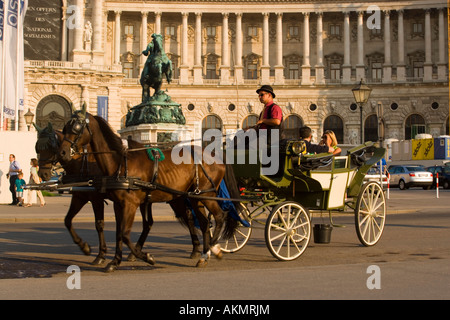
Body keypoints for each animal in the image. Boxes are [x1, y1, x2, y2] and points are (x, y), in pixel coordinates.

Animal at [58, 109, 237, 272]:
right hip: (194, 197)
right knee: (205, 223)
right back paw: (204, 255)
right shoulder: (118, 204)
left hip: (207, 195)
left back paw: (214, 249)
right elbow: (118, 233)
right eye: (64, 129)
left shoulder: (129, 204)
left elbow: (124, 234)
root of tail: (215, 155)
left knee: (219, 216)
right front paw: (114, 261)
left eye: (76, 128)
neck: (120, 162)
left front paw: (146, 257)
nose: (63, 153)